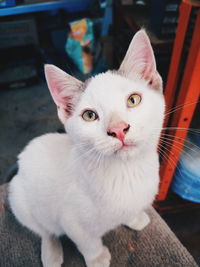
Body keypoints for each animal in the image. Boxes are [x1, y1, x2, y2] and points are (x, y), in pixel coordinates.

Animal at [8, 29, 164, 267]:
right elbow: (86, 241)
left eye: (133, 100)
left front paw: (134, 218)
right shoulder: (71, 220)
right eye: (89, 115)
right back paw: (51, 252)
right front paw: (97, 257)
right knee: (44, 229)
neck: (125, 172)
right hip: (18, 198)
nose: (118, 129)